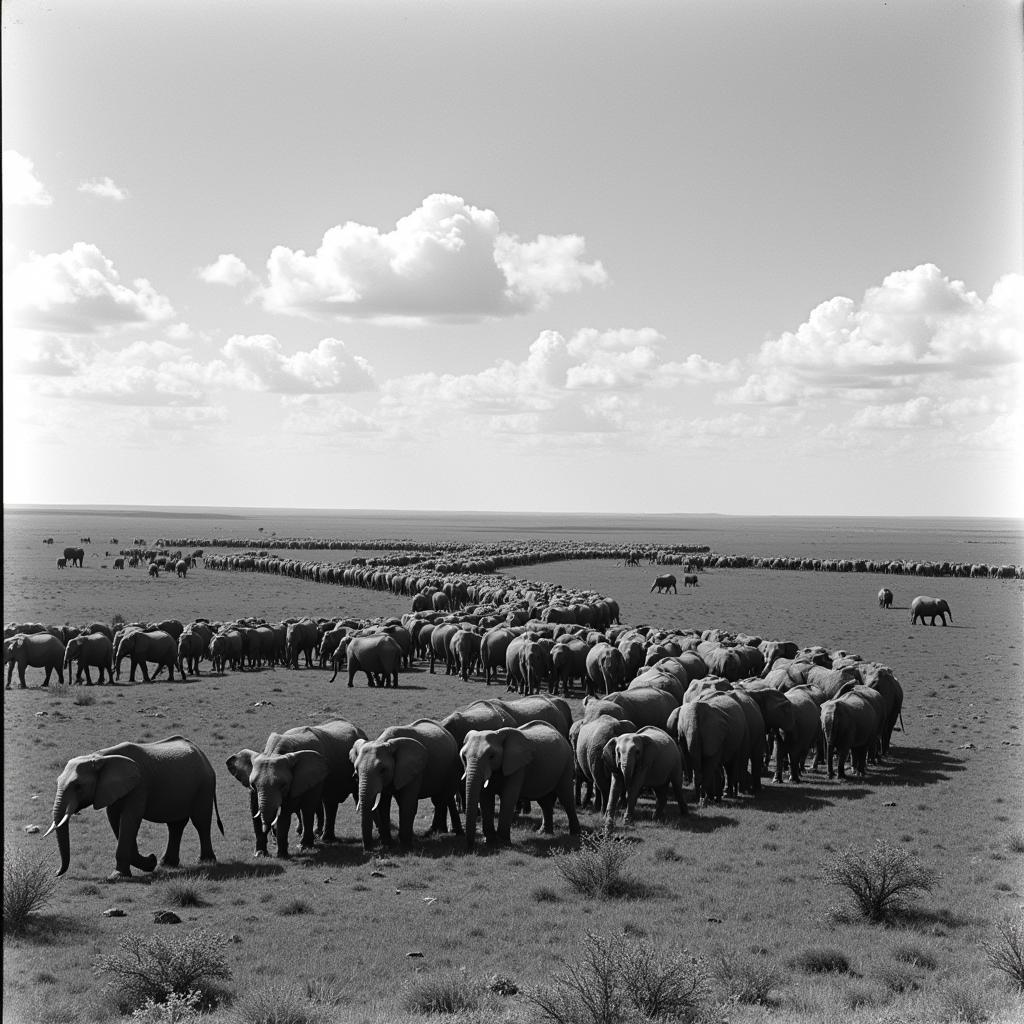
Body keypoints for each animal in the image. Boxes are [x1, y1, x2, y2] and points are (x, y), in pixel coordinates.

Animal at [46, 737, 222, 880]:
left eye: (78, 786)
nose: (55, 872)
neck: (100, 757)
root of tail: (202, 754)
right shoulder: (112, 789)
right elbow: (115, 819)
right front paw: (149, 863)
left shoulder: (139, 786)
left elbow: (130, 819)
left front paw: (118, 877)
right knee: (175, 825)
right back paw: (166, 864)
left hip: (205, 785)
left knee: (201, 822)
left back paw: (206, 862)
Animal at [226, 716, 366, 860]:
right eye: (253, 784)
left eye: (283, 785)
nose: (271, 836)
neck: (275, 752)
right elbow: (255, 812)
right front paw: (260, 854)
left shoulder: (308, 777)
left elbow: (291, 811)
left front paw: (296, 850)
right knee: (329, 803)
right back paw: (326, 839)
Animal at [352, 716, 464, 851]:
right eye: (356, 771)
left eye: (382, 770)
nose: (370, 849)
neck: (384, 741)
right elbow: (384, 805)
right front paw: (388, 845)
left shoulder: (414, 769)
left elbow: (407, 803)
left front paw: (405, 847)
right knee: (441, 799)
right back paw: (433, 832)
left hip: (452, 765)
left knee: (444, 797)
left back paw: (450, 833)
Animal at [460, 716, 581, 851]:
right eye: (463, 757)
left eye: (491, 756)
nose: (471, 847)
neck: (498, 734)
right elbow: (485, 798)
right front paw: (490, 842)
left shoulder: (517, 766)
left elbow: (508, 797)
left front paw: (503, 843)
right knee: (544, 802)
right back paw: (544, 833)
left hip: (567, 762)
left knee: (566, 797)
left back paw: (575, 834)